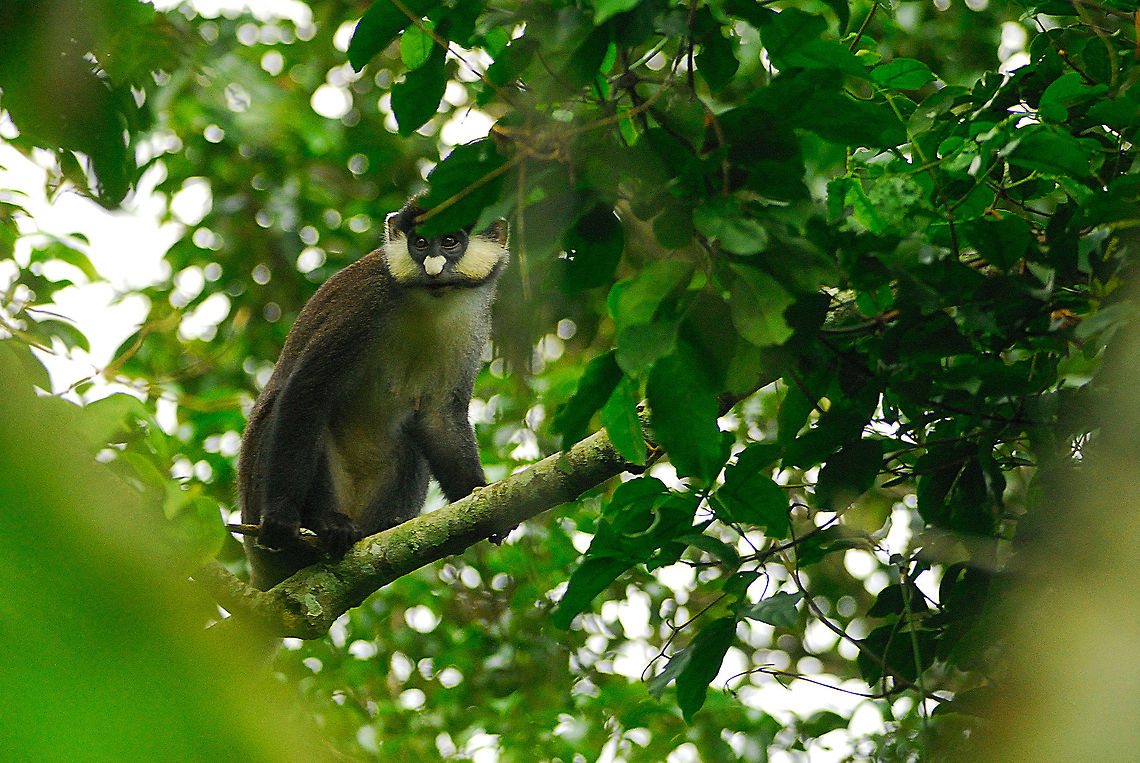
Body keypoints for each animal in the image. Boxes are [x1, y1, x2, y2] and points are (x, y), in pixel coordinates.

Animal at [236, 200, 509, 590]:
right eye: (420, 243)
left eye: (450, 241)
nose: (433, 267)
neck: (427, 302)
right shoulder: (362, 306)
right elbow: (308, 389)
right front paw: (281, 519)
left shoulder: (473, 326)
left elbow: (438, 416)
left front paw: (478, 493)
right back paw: (324, 525)